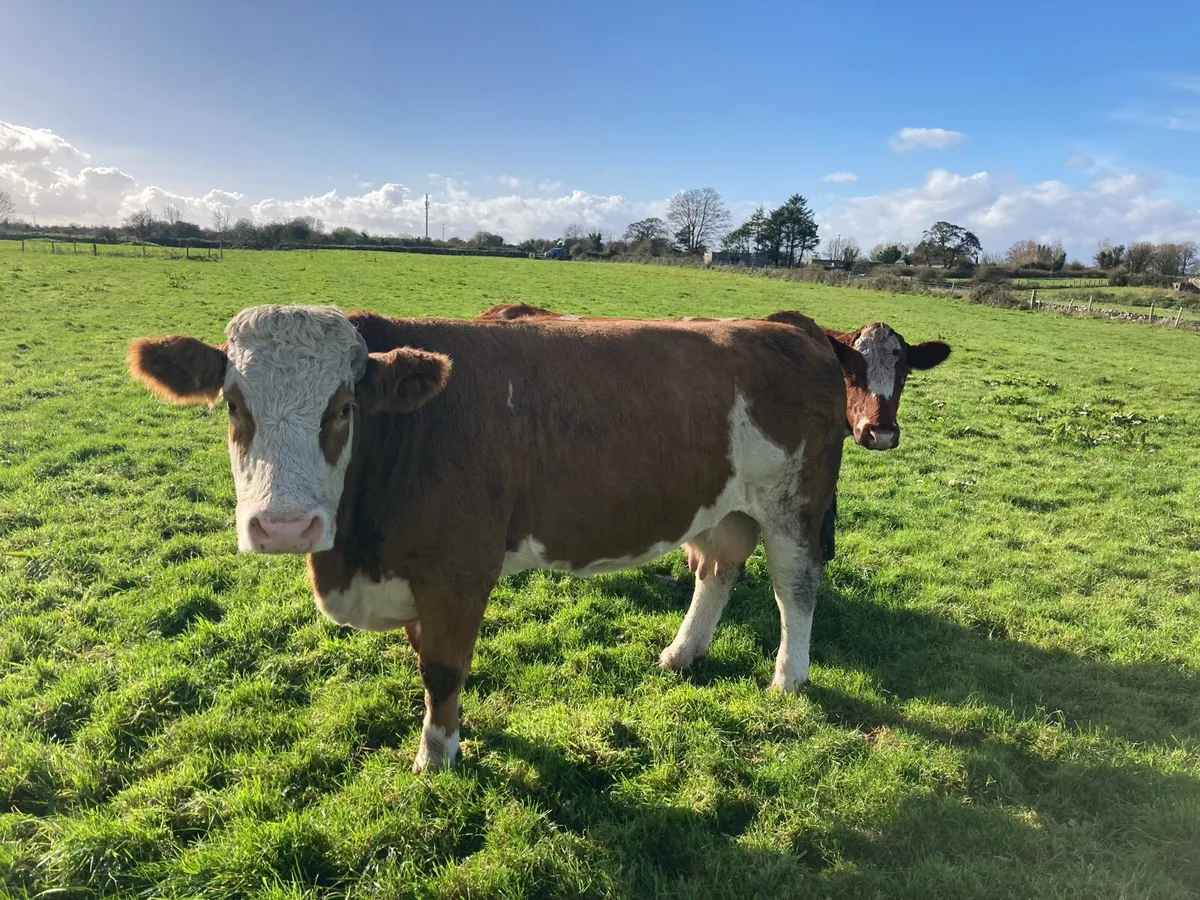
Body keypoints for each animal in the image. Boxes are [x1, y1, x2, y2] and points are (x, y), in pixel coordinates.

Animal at [127, 304, 847, 773]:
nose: (281, 526)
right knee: (718, 571)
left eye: (343, 407)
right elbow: (425, 659)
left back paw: (788, 677)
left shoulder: (458, 569)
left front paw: (437, 754)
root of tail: (786, 328)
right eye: (234, 405)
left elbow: (443, 668)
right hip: (725, 506)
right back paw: (683, 652)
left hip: (792, 504)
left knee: (795, 587)